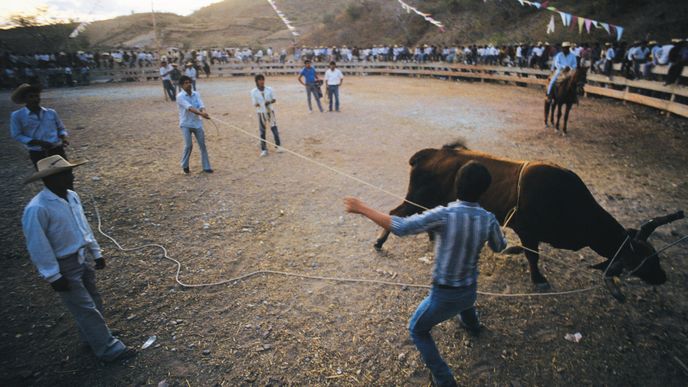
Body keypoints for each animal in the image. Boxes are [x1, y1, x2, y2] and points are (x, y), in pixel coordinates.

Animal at [376, 142, 684, 304]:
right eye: (644, 259)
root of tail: (430, 153)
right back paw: (379, 242)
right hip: (415, 198)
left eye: (655, 255)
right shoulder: (527, 231)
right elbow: (533, 256)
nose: (663, 277)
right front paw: (539, 279)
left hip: (428, 201)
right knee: (395, 213)